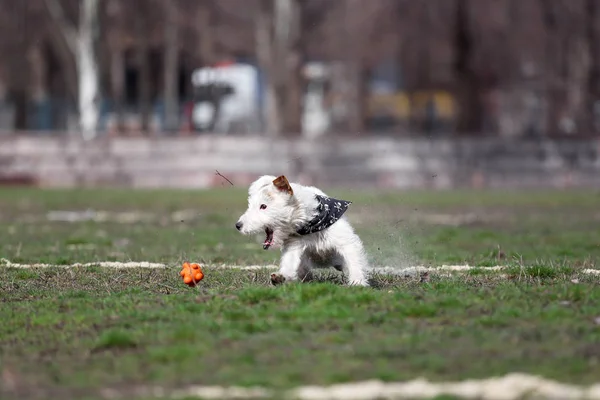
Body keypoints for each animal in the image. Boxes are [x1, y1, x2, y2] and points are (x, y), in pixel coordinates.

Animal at [236, 176, 370, 288]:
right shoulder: (293, 246)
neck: (311, 225)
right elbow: (289, 265)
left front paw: (357, 283)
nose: (238, 225)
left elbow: (354, 263)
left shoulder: (347, 243)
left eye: (263, 206)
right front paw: (280, 277)